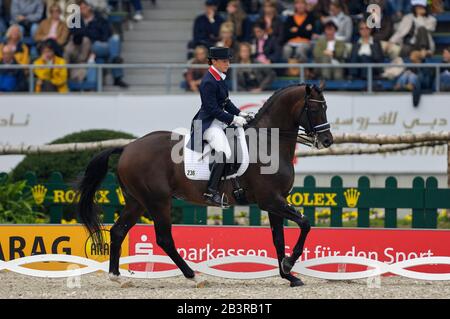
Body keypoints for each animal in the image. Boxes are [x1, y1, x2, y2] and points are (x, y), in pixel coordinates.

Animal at [75, 82, 332, 288]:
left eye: (325, 107)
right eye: (315, 109)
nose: (327, 141)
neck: (268, 142)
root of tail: (127, 147)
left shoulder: (275, 202)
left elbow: (278, 239)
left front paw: (289, 275)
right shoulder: (270, 200)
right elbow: (305, 223)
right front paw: (289, 264)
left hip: (137, 201)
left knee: (119, 231)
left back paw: (117, 277)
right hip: (157, 201)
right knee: (164, 238)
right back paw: (194, 276)